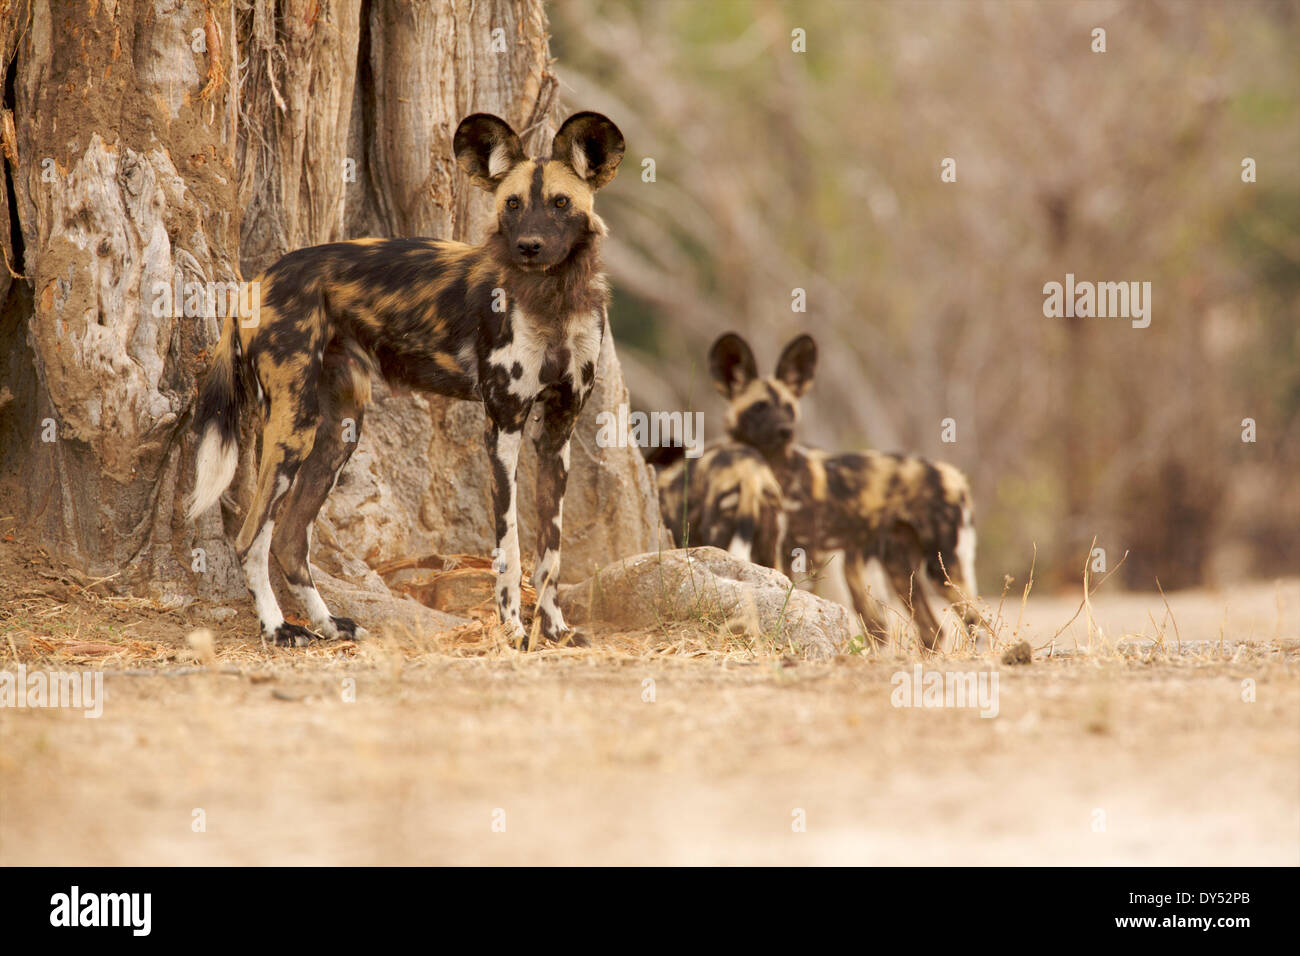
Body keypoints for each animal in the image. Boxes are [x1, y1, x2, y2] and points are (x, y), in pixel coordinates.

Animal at [187, 111, 624, 650]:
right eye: (513, 204)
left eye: (561, 203)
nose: (528, 246)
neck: (554, 299)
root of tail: (257, 281)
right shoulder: (503, 428)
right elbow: (511, 550)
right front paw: (513, 630)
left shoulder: (557, 433)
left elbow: (551, 552)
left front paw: (557, 628)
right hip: (294, 428)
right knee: (251, 538)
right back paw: (277, 627)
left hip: (339, 432)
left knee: (290, 541)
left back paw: (329, 624)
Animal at [712, 330, 977, 650]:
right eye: (759, 407)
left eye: (788, 407)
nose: (786, 430)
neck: (777, 472)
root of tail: (952, 474)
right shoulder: (768, 548)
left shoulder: (804, 553)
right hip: (902, 571)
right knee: (932, 631)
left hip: (942, 569)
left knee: (975, 621)